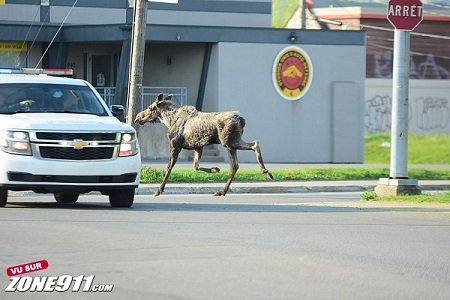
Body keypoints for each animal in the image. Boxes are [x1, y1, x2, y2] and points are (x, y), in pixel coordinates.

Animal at [134, 94, 274, 197]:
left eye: (150, 107)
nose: (137, 117)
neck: (169, 120)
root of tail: (242, 120)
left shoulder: (175, 145)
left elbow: (169, 168)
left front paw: (159, 190)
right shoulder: (198, 146)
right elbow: (195, 166)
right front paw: (214, 169)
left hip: (229, 142)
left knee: (255, 144)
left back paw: (266, 172)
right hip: (230, 144)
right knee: (235, 165)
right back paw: (222, 191)